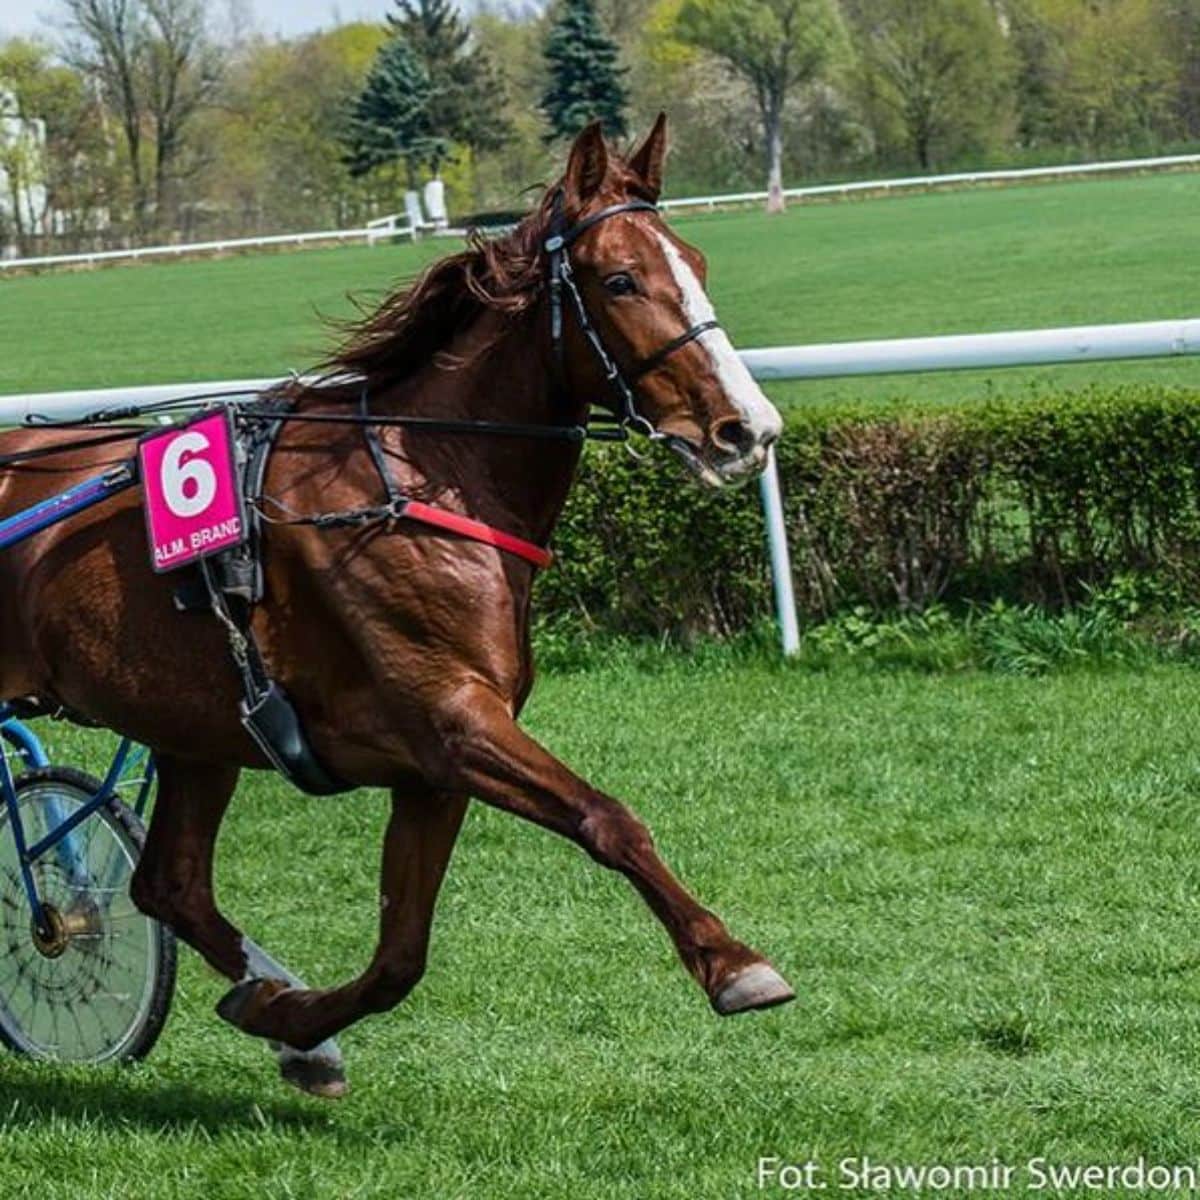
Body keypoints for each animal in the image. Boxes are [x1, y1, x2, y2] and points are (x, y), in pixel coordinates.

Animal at [2, 119, 796, 1099]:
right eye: (620, 279)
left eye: (697, 261)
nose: (747, 430)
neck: (417, 482)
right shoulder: (454, 722)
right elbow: (609, 819)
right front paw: (734, 965)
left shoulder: (431, 768)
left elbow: (399, 959)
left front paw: (292, 1023)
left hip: (194, 729)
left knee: (171, 884)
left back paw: (275, 999)